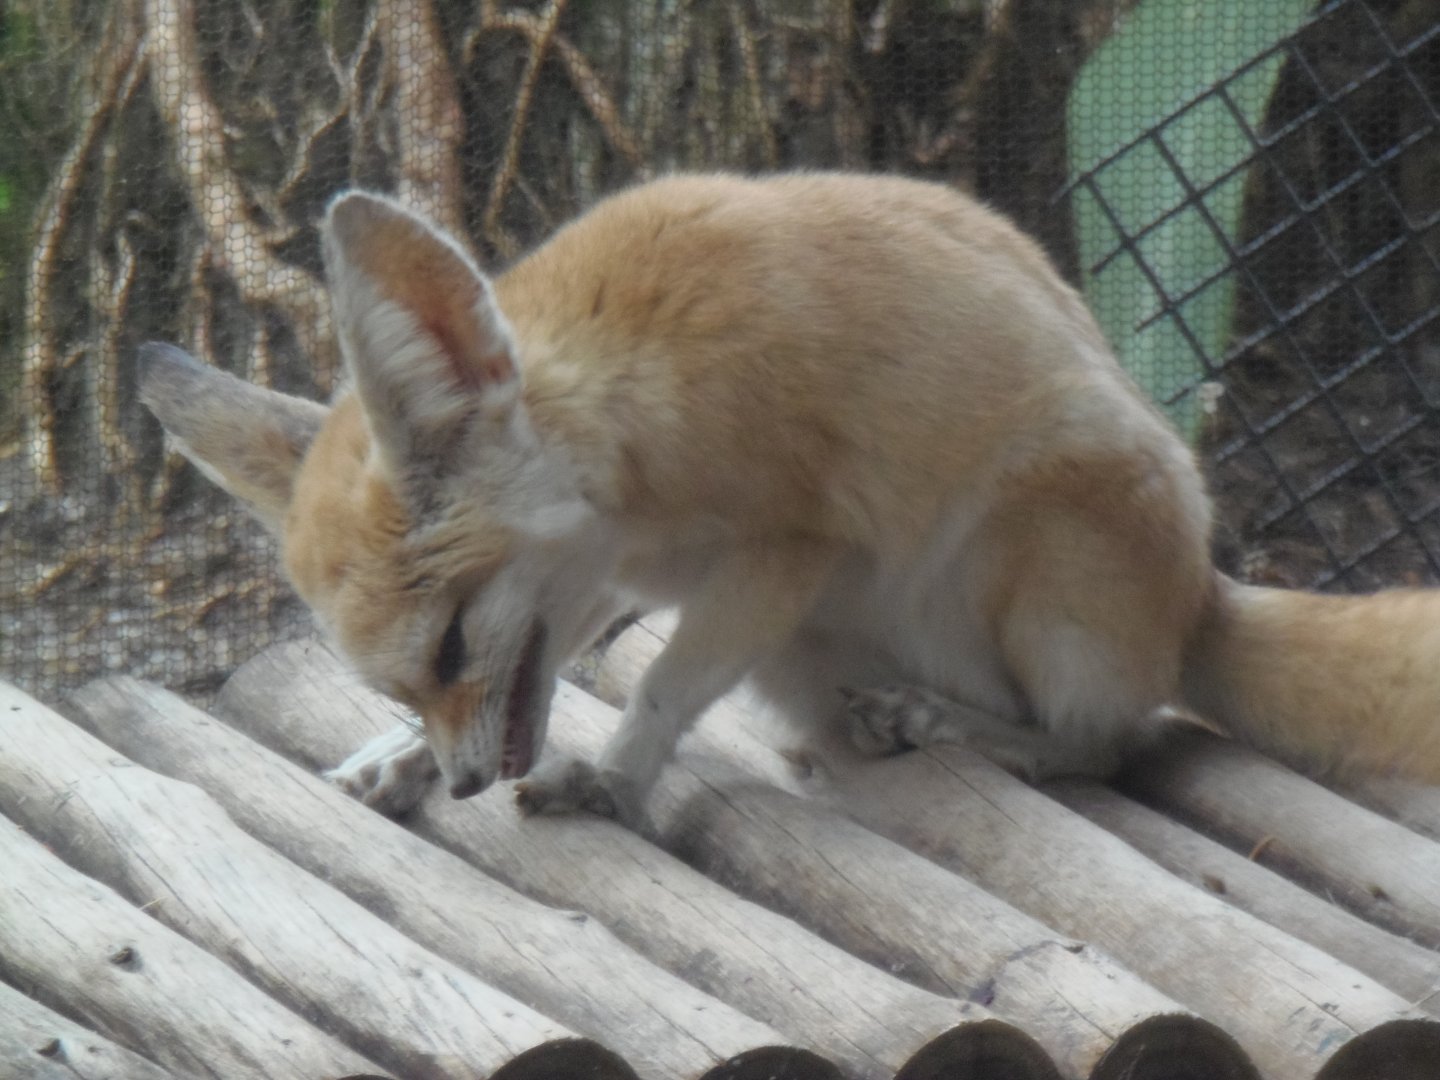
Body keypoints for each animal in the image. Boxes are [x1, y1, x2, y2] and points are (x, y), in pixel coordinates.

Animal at [140, 172, 1440, 822]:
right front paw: (402, 759)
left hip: (1032, 553)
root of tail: (1210, 595)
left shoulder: (788, 549)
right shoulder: (601, 586)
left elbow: (662, 688)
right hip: (814, 646)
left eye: (453, 643)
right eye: (403, 678)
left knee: (1110, 740)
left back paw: (964, 728)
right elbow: (559, 678)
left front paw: (612, 781)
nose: (465, 786)